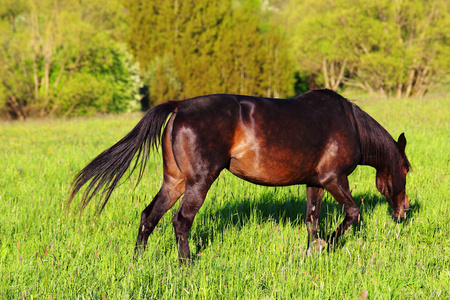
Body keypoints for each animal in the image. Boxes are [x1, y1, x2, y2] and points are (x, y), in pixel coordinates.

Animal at [67, 89, 412, 262]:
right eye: (406, 169)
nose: (404, 211)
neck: (348, 124)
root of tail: (179, 107)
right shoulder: (334, 180)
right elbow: (352, 213)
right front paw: (327, 244)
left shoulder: (315, 182)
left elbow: (312, 219)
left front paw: (313, 249)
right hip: (199, 182)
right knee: (181, 221)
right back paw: (186, 264)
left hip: (175, 181)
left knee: (149, 215)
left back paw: (137, 261)